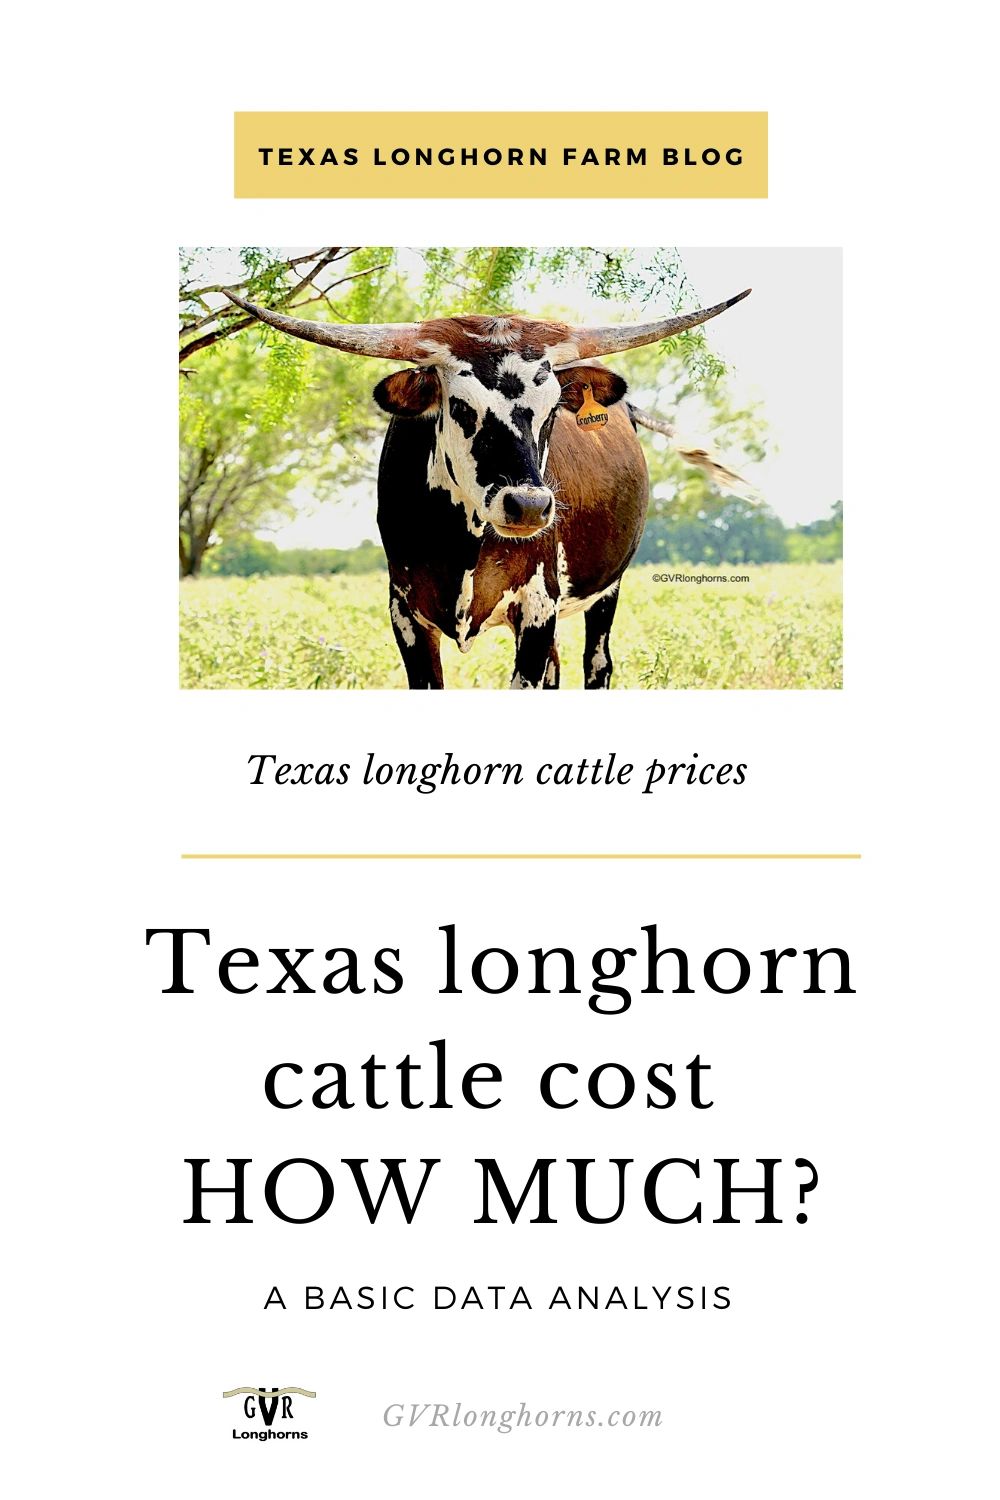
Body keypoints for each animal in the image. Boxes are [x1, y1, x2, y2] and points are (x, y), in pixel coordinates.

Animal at [223, 287, 751, 688]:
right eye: (459, 407)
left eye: (553, 410)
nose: (529, 506)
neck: (462, 544)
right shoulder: (405, 614)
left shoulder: (537, 608)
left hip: (606, 590)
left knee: (596, 664)